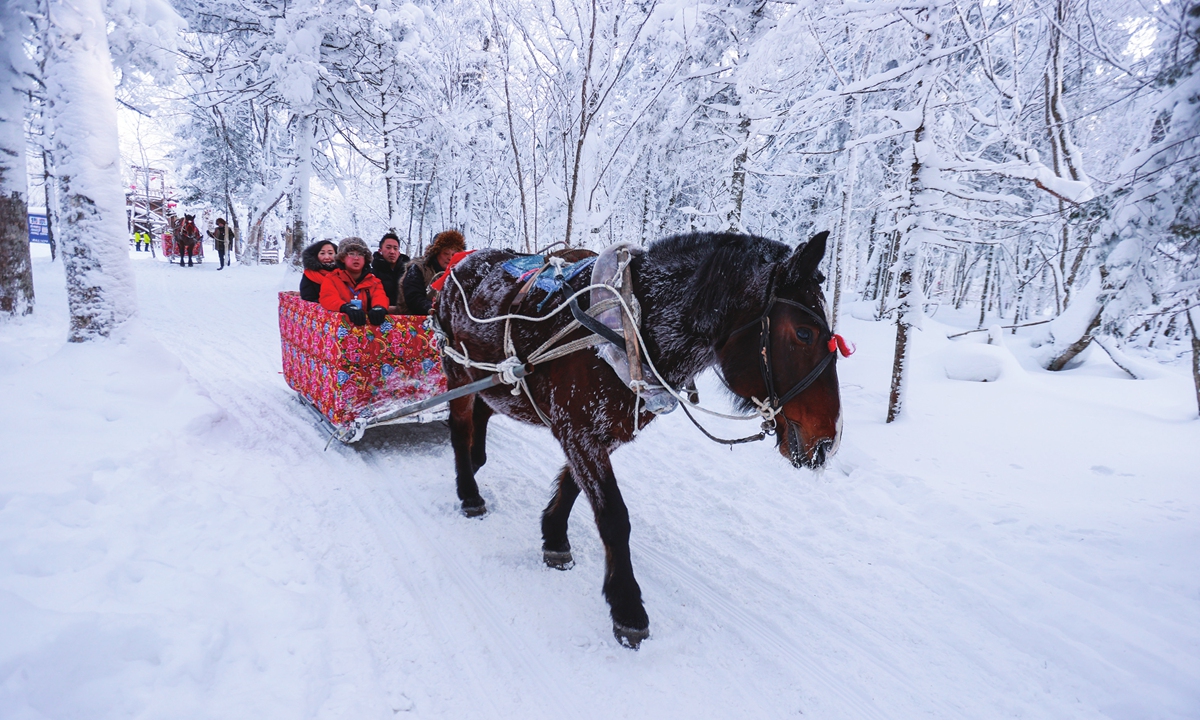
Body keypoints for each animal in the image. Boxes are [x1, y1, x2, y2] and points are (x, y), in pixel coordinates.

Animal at [433, 231, 842, 648]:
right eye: (804, 333)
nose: (828, 440)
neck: (631, 325)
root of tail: (460, 262)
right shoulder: (576, 429)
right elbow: (614, 516)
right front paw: (627, 607)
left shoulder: (604, 432)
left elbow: (572, 486)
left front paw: (554, 537)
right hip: (458, 371)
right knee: (460, 427)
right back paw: (469, 492)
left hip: (495, 383)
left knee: (483, 414)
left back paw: (477, 462)